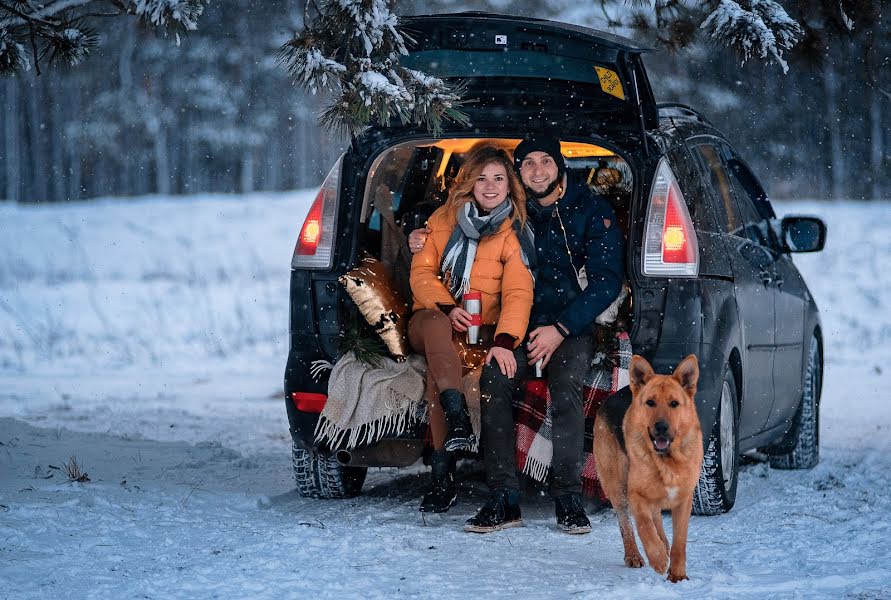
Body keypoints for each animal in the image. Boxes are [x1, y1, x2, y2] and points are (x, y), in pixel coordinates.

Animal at [596, 356, 700, 580]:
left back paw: (664, 545)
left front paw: (678, 575)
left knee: (656, 519)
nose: (661, 427)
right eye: (650, 403)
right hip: (616, 485)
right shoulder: (635, 494)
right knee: (626, 522)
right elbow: (644, 527)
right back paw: (634, 554)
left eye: (674, 404)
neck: (666, 461)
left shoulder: (684, 499)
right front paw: (658, 560)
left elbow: (680, 541)